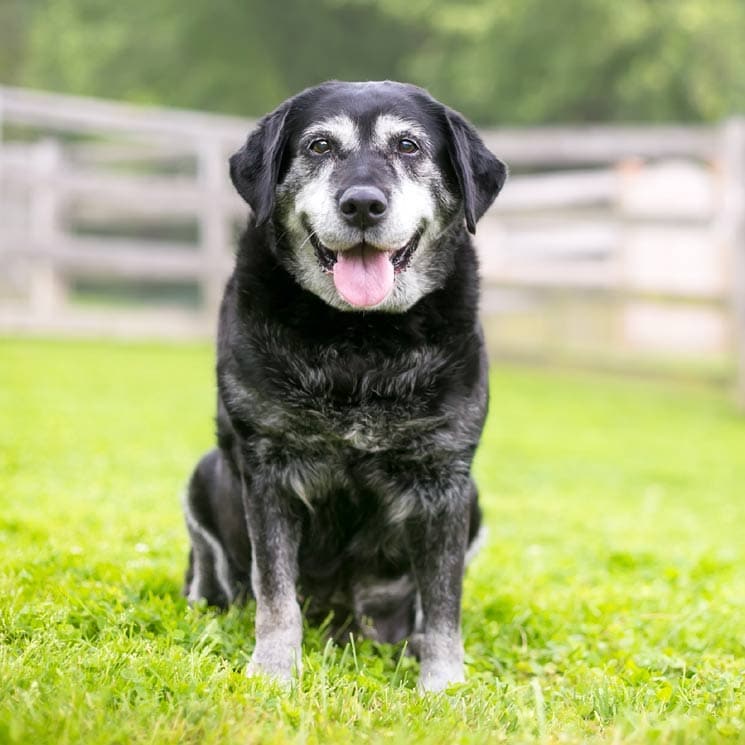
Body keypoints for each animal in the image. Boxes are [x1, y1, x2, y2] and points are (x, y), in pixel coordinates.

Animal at [182, 81, 506, 692]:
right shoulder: (269, 469)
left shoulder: (445, 479)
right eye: (320, 145)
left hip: (473, 501)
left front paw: (443, 685)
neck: (360, 339)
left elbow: (444, 603)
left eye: (408, 145)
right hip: (205, 475)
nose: (361, 203)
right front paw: (273, 672)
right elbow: (275, 594)